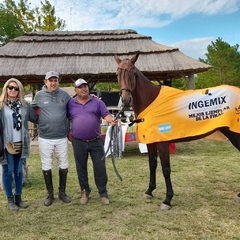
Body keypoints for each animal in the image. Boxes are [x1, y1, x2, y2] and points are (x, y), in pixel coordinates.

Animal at [113, 52, 240, 210]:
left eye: (134, 74)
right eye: (117, 74)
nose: (126, 100)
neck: (151, 101)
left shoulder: (162, 143)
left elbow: (166, 169)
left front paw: (167, 200)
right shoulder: (151, 142)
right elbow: (152, 165)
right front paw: (149, 191)